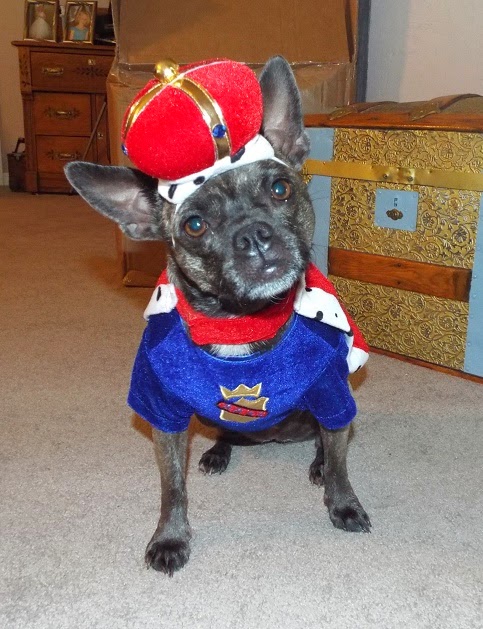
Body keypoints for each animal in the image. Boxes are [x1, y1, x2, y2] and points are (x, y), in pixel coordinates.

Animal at [65, 55, 371, 576]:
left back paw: (313, 463)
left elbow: (340, 463)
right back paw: (218, 452)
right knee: (228, 434)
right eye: (194, 225)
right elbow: (173, 488)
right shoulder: (164, 415)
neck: (240, 321)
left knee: (324, 444)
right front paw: (170, 537)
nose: (253, 235)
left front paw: (343, 502)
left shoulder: (333, 394)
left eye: (280, 187)